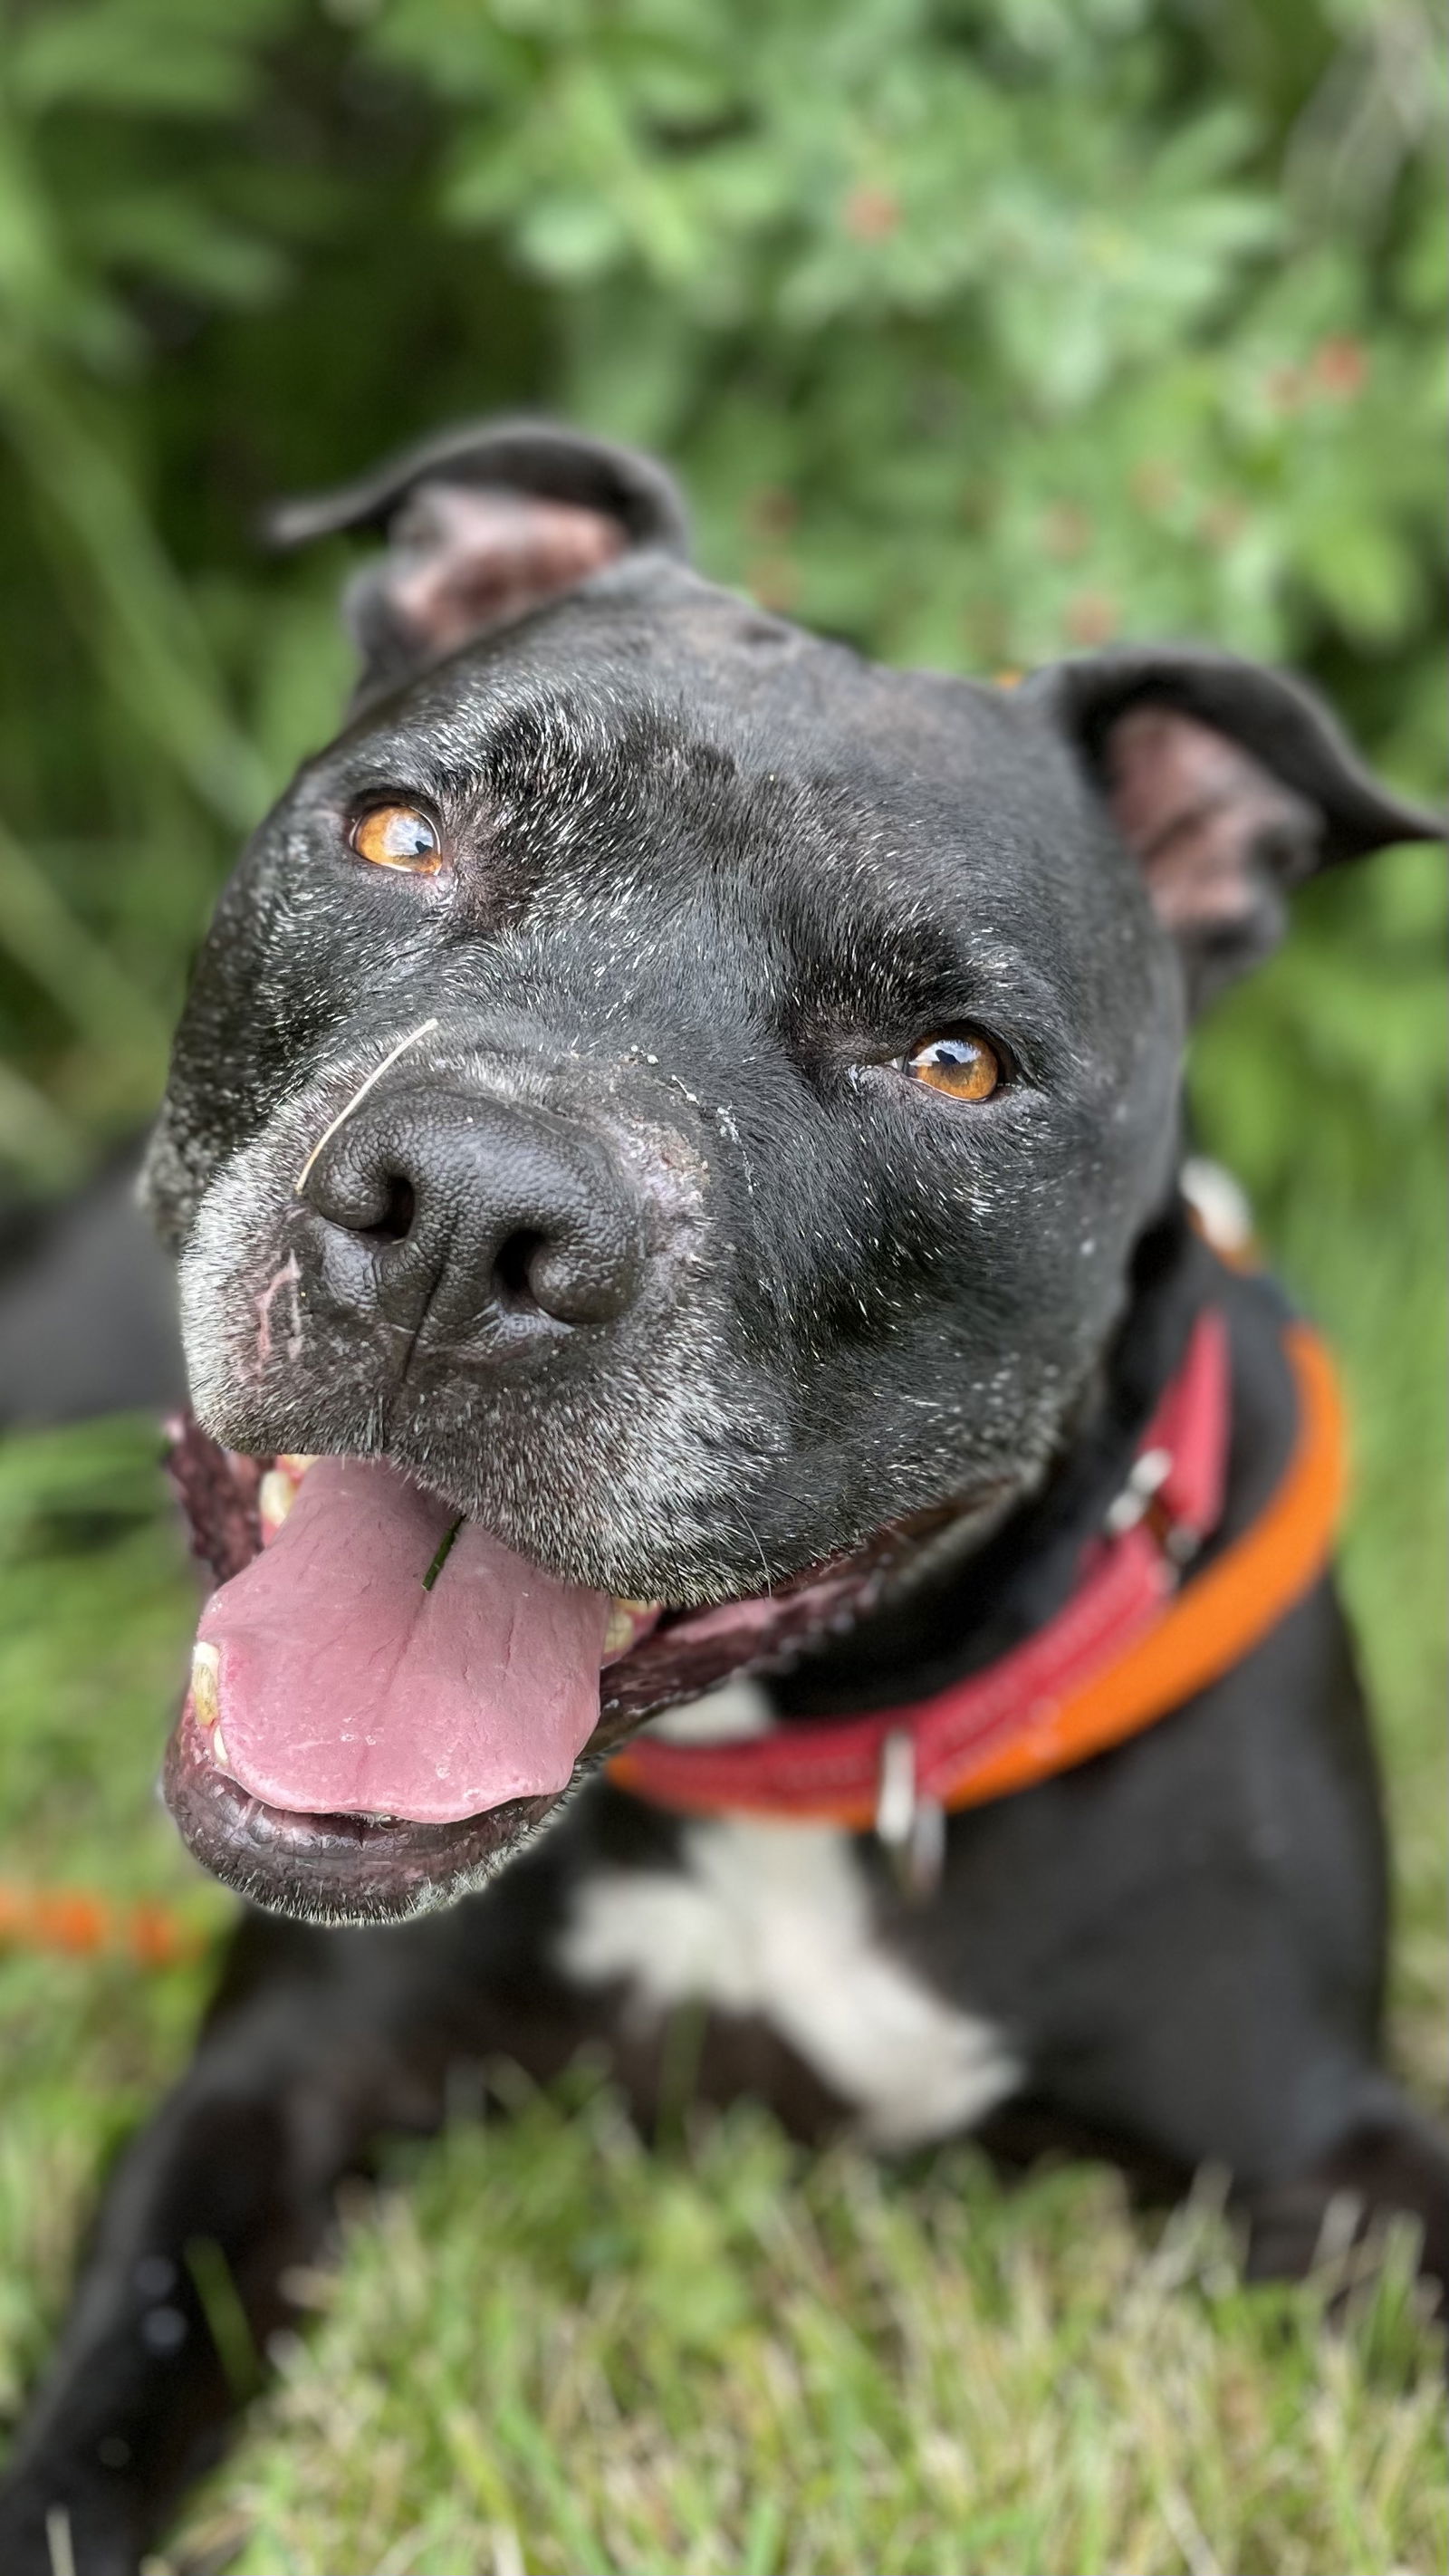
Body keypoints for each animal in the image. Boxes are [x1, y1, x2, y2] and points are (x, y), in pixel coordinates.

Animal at [3, 428, 1449, 2576]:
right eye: (401, 835)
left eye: (955, 1062)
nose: (472, 1217)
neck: (803, 1759)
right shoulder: (276, 2078)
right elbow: (108, 2394)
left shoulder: (1320, 2140)